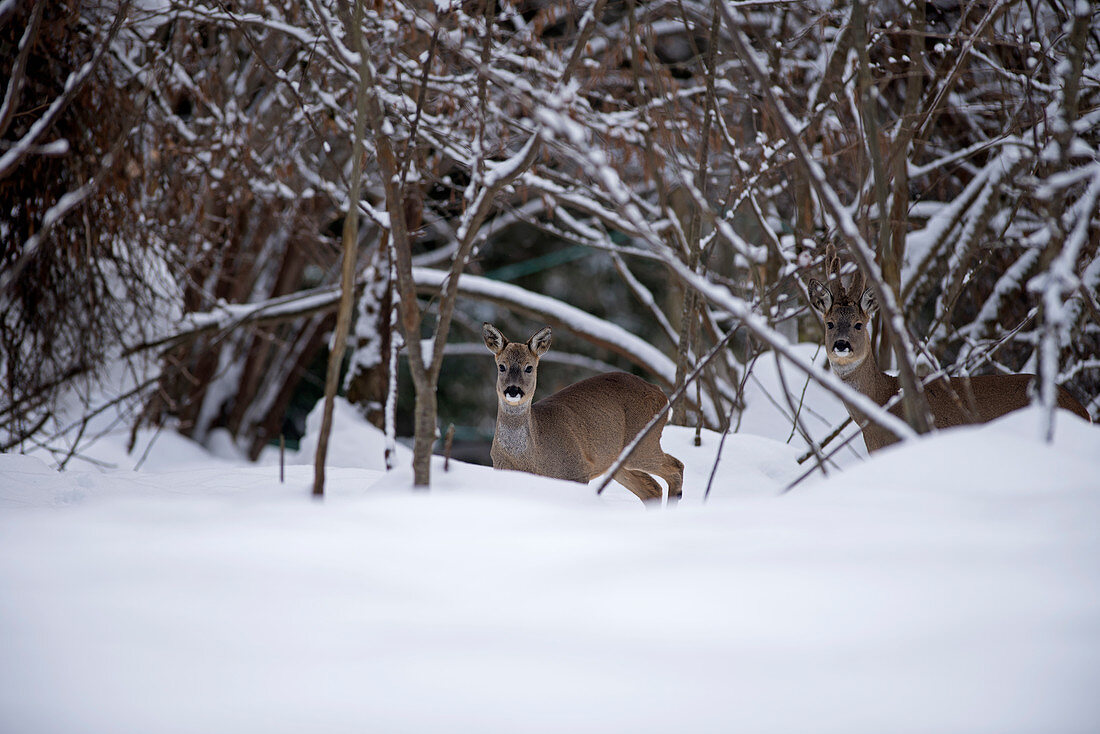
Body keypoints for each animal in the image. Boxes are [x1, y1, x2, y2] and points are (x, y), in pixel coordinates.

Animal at [484, 323, 682, 506]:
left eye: (529, 367)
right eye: (502, 366)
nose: (513, 390)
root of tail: (661, 394)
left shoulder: (578, 469)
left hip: (643, 443)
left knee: (676, 466)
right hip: (617, 460)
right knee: (652, 489)